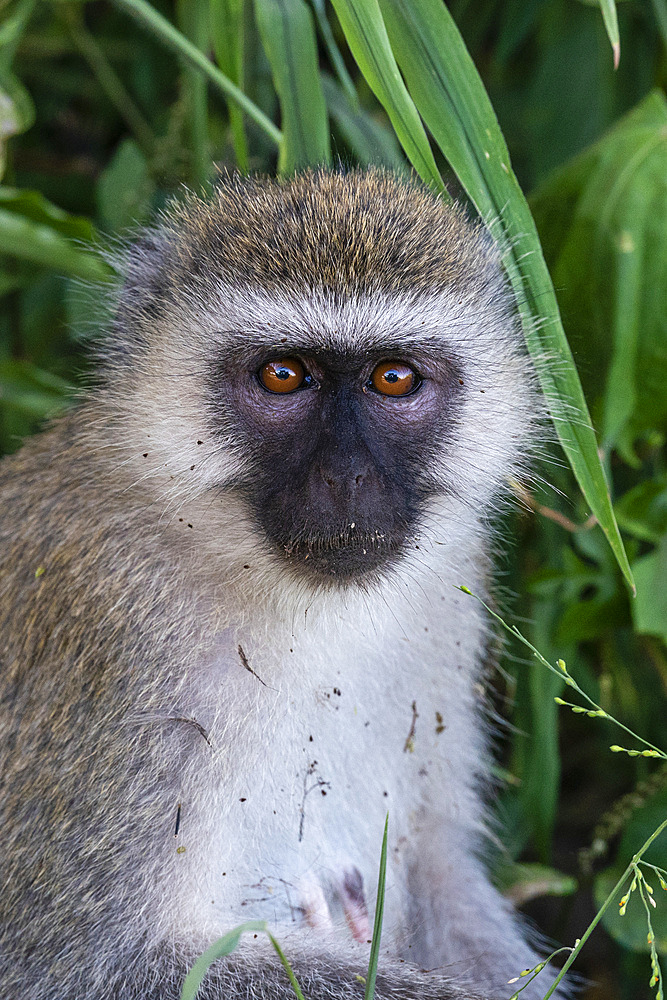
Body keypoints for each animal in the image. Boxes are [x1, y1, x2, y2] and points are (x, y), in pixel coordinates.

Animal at [0, 174, 552, 1000]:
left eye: (394, 378)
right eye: (282, 375)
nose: (346, 477)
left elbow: (438, 868)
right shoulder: (110, 635)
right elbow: (86, 964)